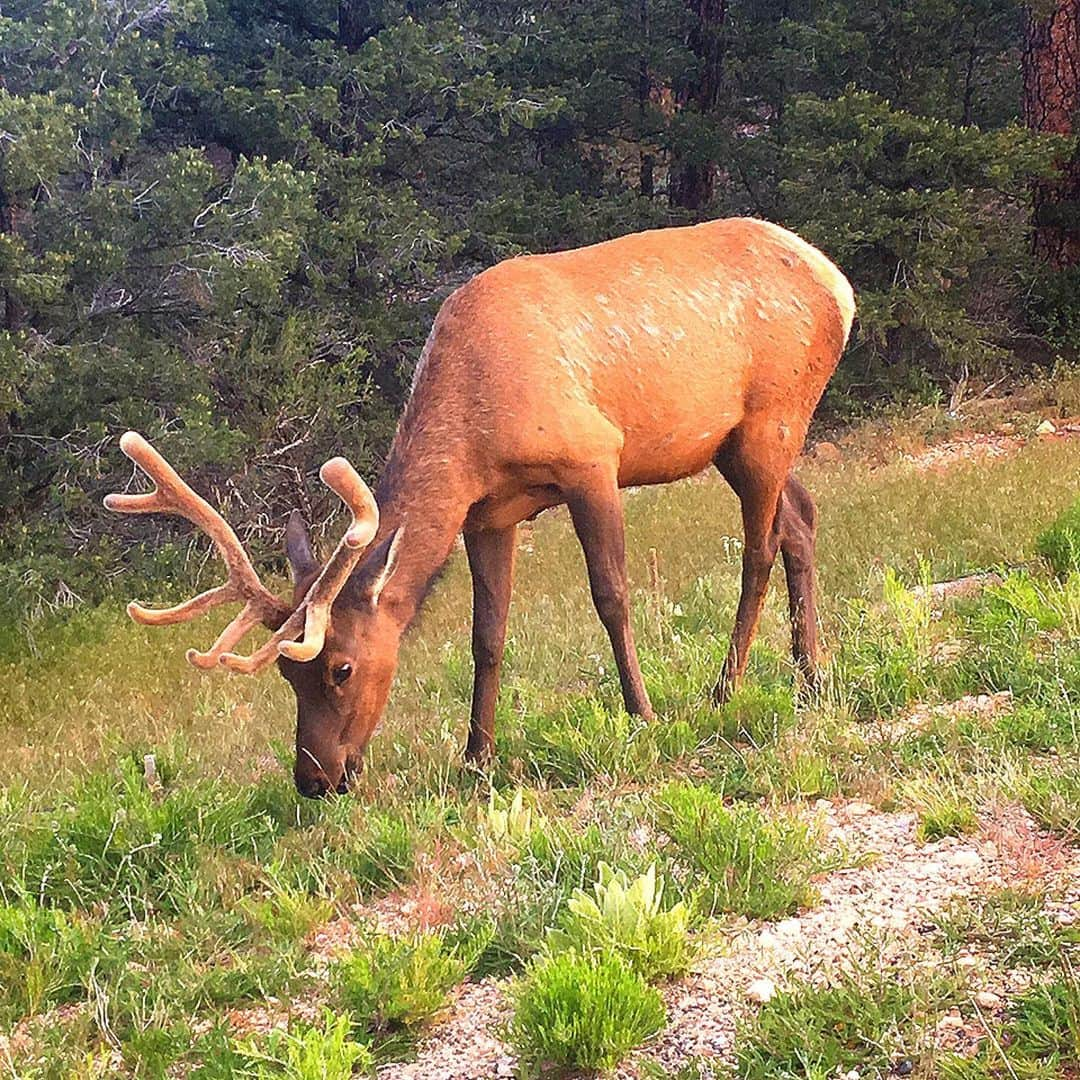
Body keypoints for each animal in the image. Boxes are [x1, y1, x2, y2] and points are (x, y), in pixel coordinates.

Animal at [107, 214, 851, 799]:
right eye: (289, 677)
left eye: (341, 668)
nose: (316, 779)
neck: (476, 431)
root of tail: (839, 285)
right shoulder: (489, 512)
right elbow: (486, 634)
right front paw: (476, 758)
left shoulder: (592, 458)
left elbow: (612, 595)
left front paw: (641, 715)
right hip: (738, 442)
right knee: (802, 519)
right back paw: (811, 676)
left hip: (772, 417)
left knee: (760, 546)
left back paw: (726, 688)